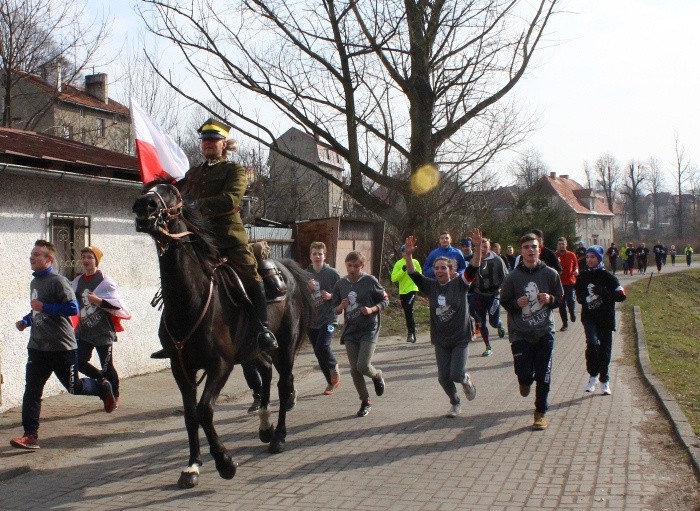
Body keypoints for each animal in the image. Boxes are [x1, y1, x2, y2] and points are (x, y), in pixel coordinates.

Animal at [133, 182, 314, 490]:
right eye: (148, 188)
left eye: (170, 192)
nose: (144, 205)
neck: (189, 302)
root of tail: (286, 267)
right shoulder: (180, 368)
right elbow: (190, 414)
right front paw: (193, 465)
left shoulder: (221, 364)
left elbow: (205, 410)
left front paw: (225, 463)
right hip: (252, 350)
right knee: (266, 372)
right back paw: (264, 426)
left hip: (285, 346)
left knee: (283, 384)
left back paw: (278, 436)